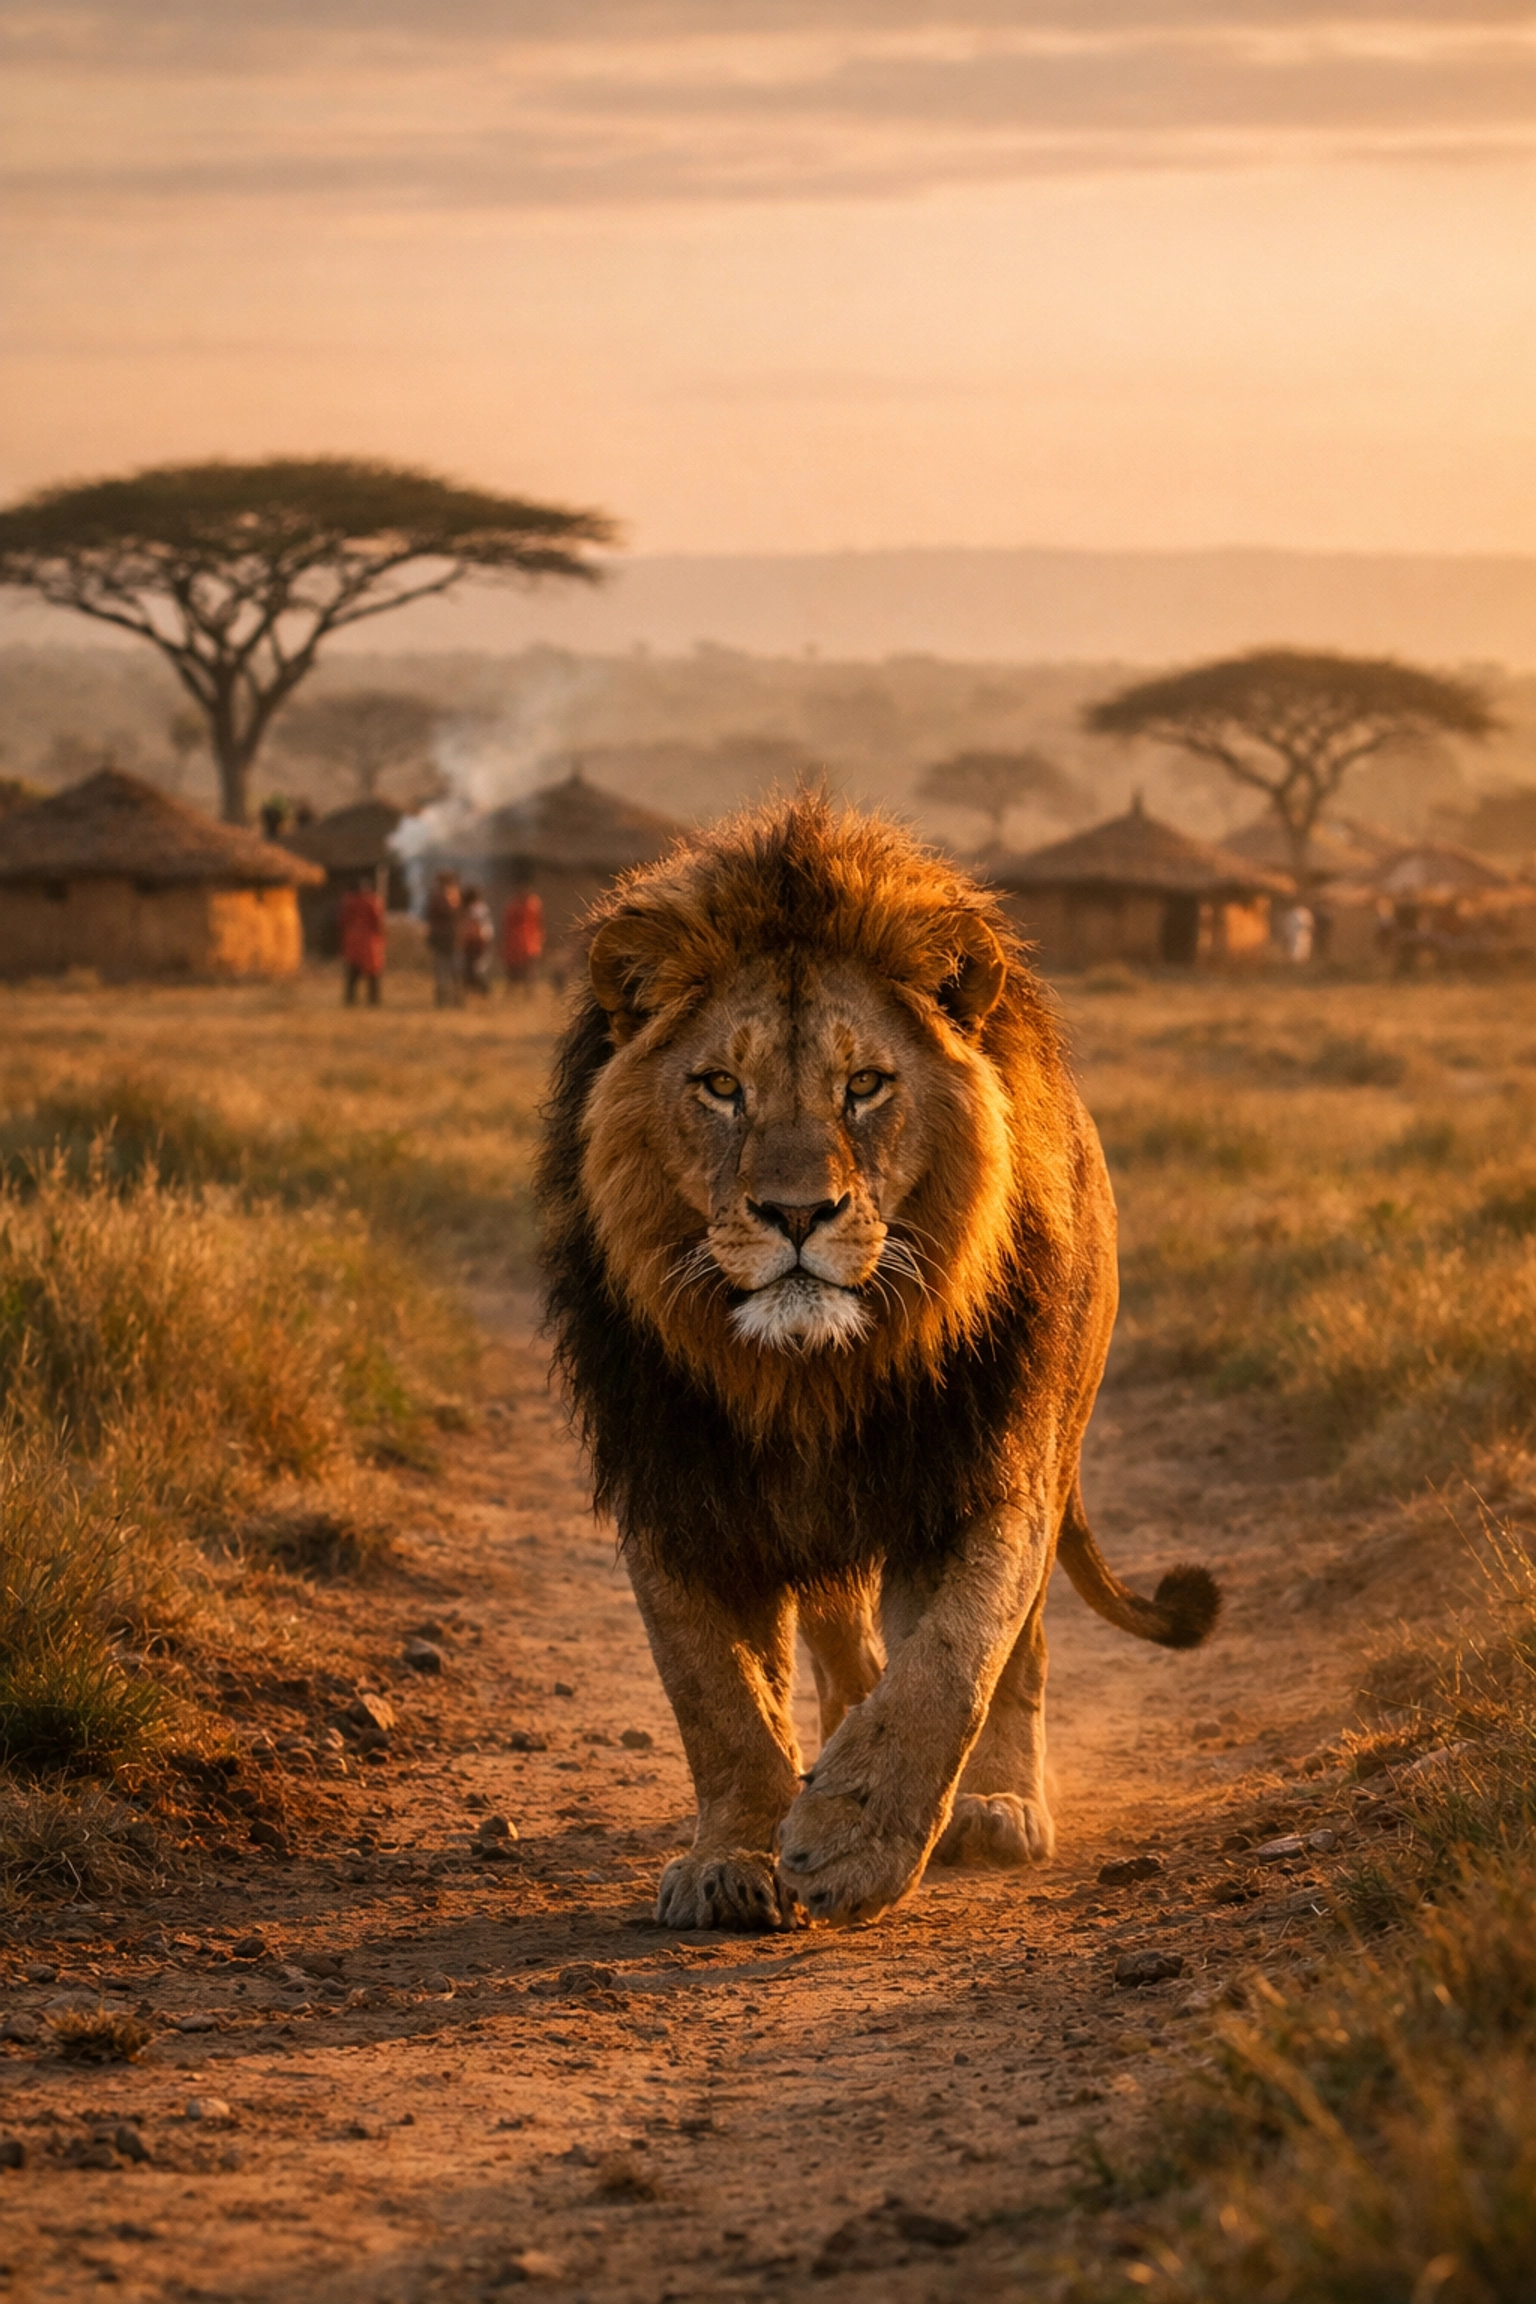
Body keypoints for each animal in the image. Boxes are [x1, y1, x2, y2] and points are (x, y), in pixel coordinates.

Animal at [538, 796, 1218, 1930]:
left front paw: (860, 1833)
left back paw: (992, 1805)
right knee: (837, 1636)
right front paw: (733, 1854)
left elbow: (954, 1658)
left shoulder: (982, 1471)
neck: (812, 1377)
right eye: (719, 1086)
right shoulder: (677, 1486)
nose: (795, 1213)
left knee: (1018, 1650)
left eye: (865, 1086)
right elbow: (714, 1693)